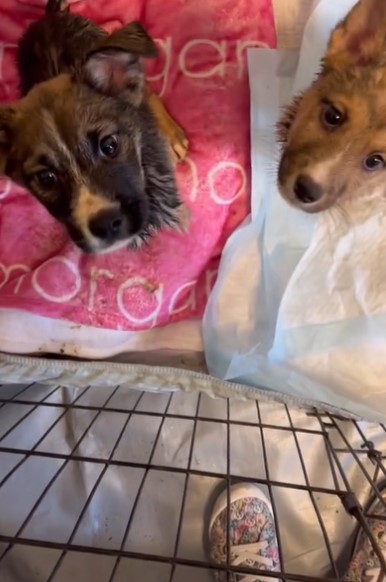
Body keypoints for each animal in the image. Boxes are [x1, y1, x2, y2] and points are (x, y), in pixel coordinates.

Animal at [0, 0, 188, 256]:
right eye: (46, 178)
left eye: (109, 146)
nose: (106, 224)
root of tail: (50, 17)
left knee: (145, 91)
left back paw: (172, 136)